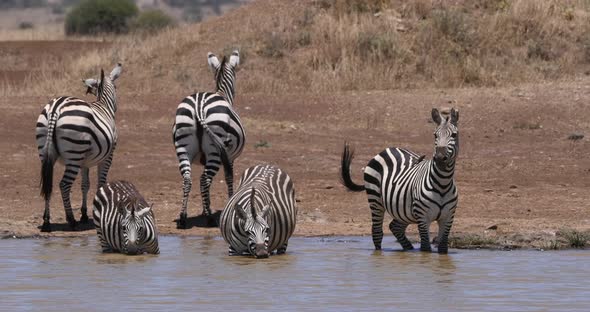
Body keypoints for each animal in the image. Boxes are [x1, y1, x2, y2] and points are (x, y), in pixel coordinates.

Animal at [36, 63, 122, 232]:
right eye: (116, 87)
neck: (104, 106)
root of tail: (56, 108)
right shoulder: (108, 156)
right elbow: (100, 183)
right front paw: (97, 212)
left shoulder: (85, 162)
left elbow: (85, 185)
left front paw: (84, 214)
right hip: (74, 154)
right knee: (64, 185)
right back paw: (71, 220)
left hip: (47, 153)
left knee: (48, 185)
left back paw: (47, 222)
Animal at [172, 49, 246, 229]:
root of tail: (199, 106)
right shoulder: (229, 157)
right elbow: (228, 177)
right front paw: (229, 203)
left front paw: (207, 207)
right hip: (215, 151)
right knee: (204, 180)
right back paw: (210, 218)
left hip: (183, 147)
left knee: (188, 180)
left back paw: (183, 218)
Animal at [340, 108, 460, 254]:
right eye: (435, 135)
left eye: (454, 135)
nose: (440, 158)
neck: (442, 184)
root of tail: (387, 149)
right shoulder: (422, 218)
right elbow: (425, 248)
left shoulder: (448, 218)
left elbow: (443, 249)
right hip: (375, 200)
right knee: (377, 233)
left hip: (403, 210)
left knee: (395, 227)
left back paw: (408, 249)